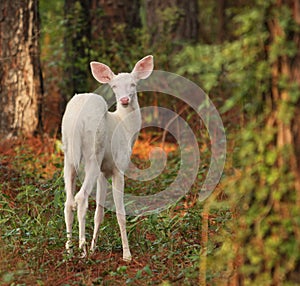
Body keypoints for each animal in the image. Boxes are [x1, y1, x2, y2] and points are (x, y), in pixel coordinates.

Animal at [61, 54, 154, 260]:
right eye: (114, 86)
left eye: (133, 84)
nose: (125, 99)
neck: (126, 129)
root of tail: (77, 118)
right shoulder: (119, 167)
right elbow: (120, 212)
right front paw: (127, 254)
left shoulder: (104, 171)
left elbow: (100, 213)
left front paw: (95, 247)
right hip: (92, 155)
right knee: (80, 198)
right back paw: (81, 249)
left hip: (69, 157)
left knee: (68, 201)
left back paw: (69, 249)